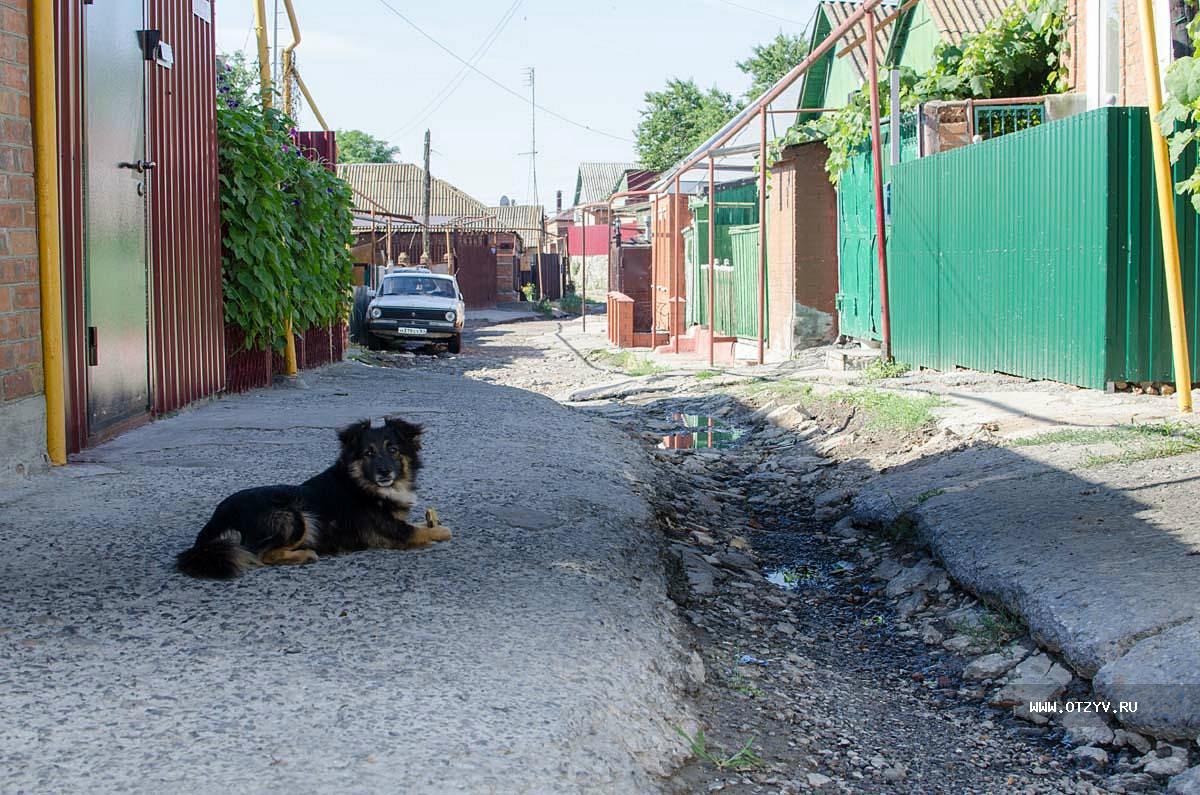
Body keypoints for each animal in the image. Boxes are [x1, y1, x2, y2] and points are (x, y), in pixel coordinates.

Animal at [171, 420, 448, 583]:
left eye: (393, 450)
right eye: (368, 453)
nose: (384, 472)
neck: (361, 484)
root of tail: (214, 524)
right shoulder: (392, 531)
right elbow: (431, 532)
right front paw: (438, 531)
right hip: (293, 516)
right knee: (261, 555)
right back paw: (304, 555)